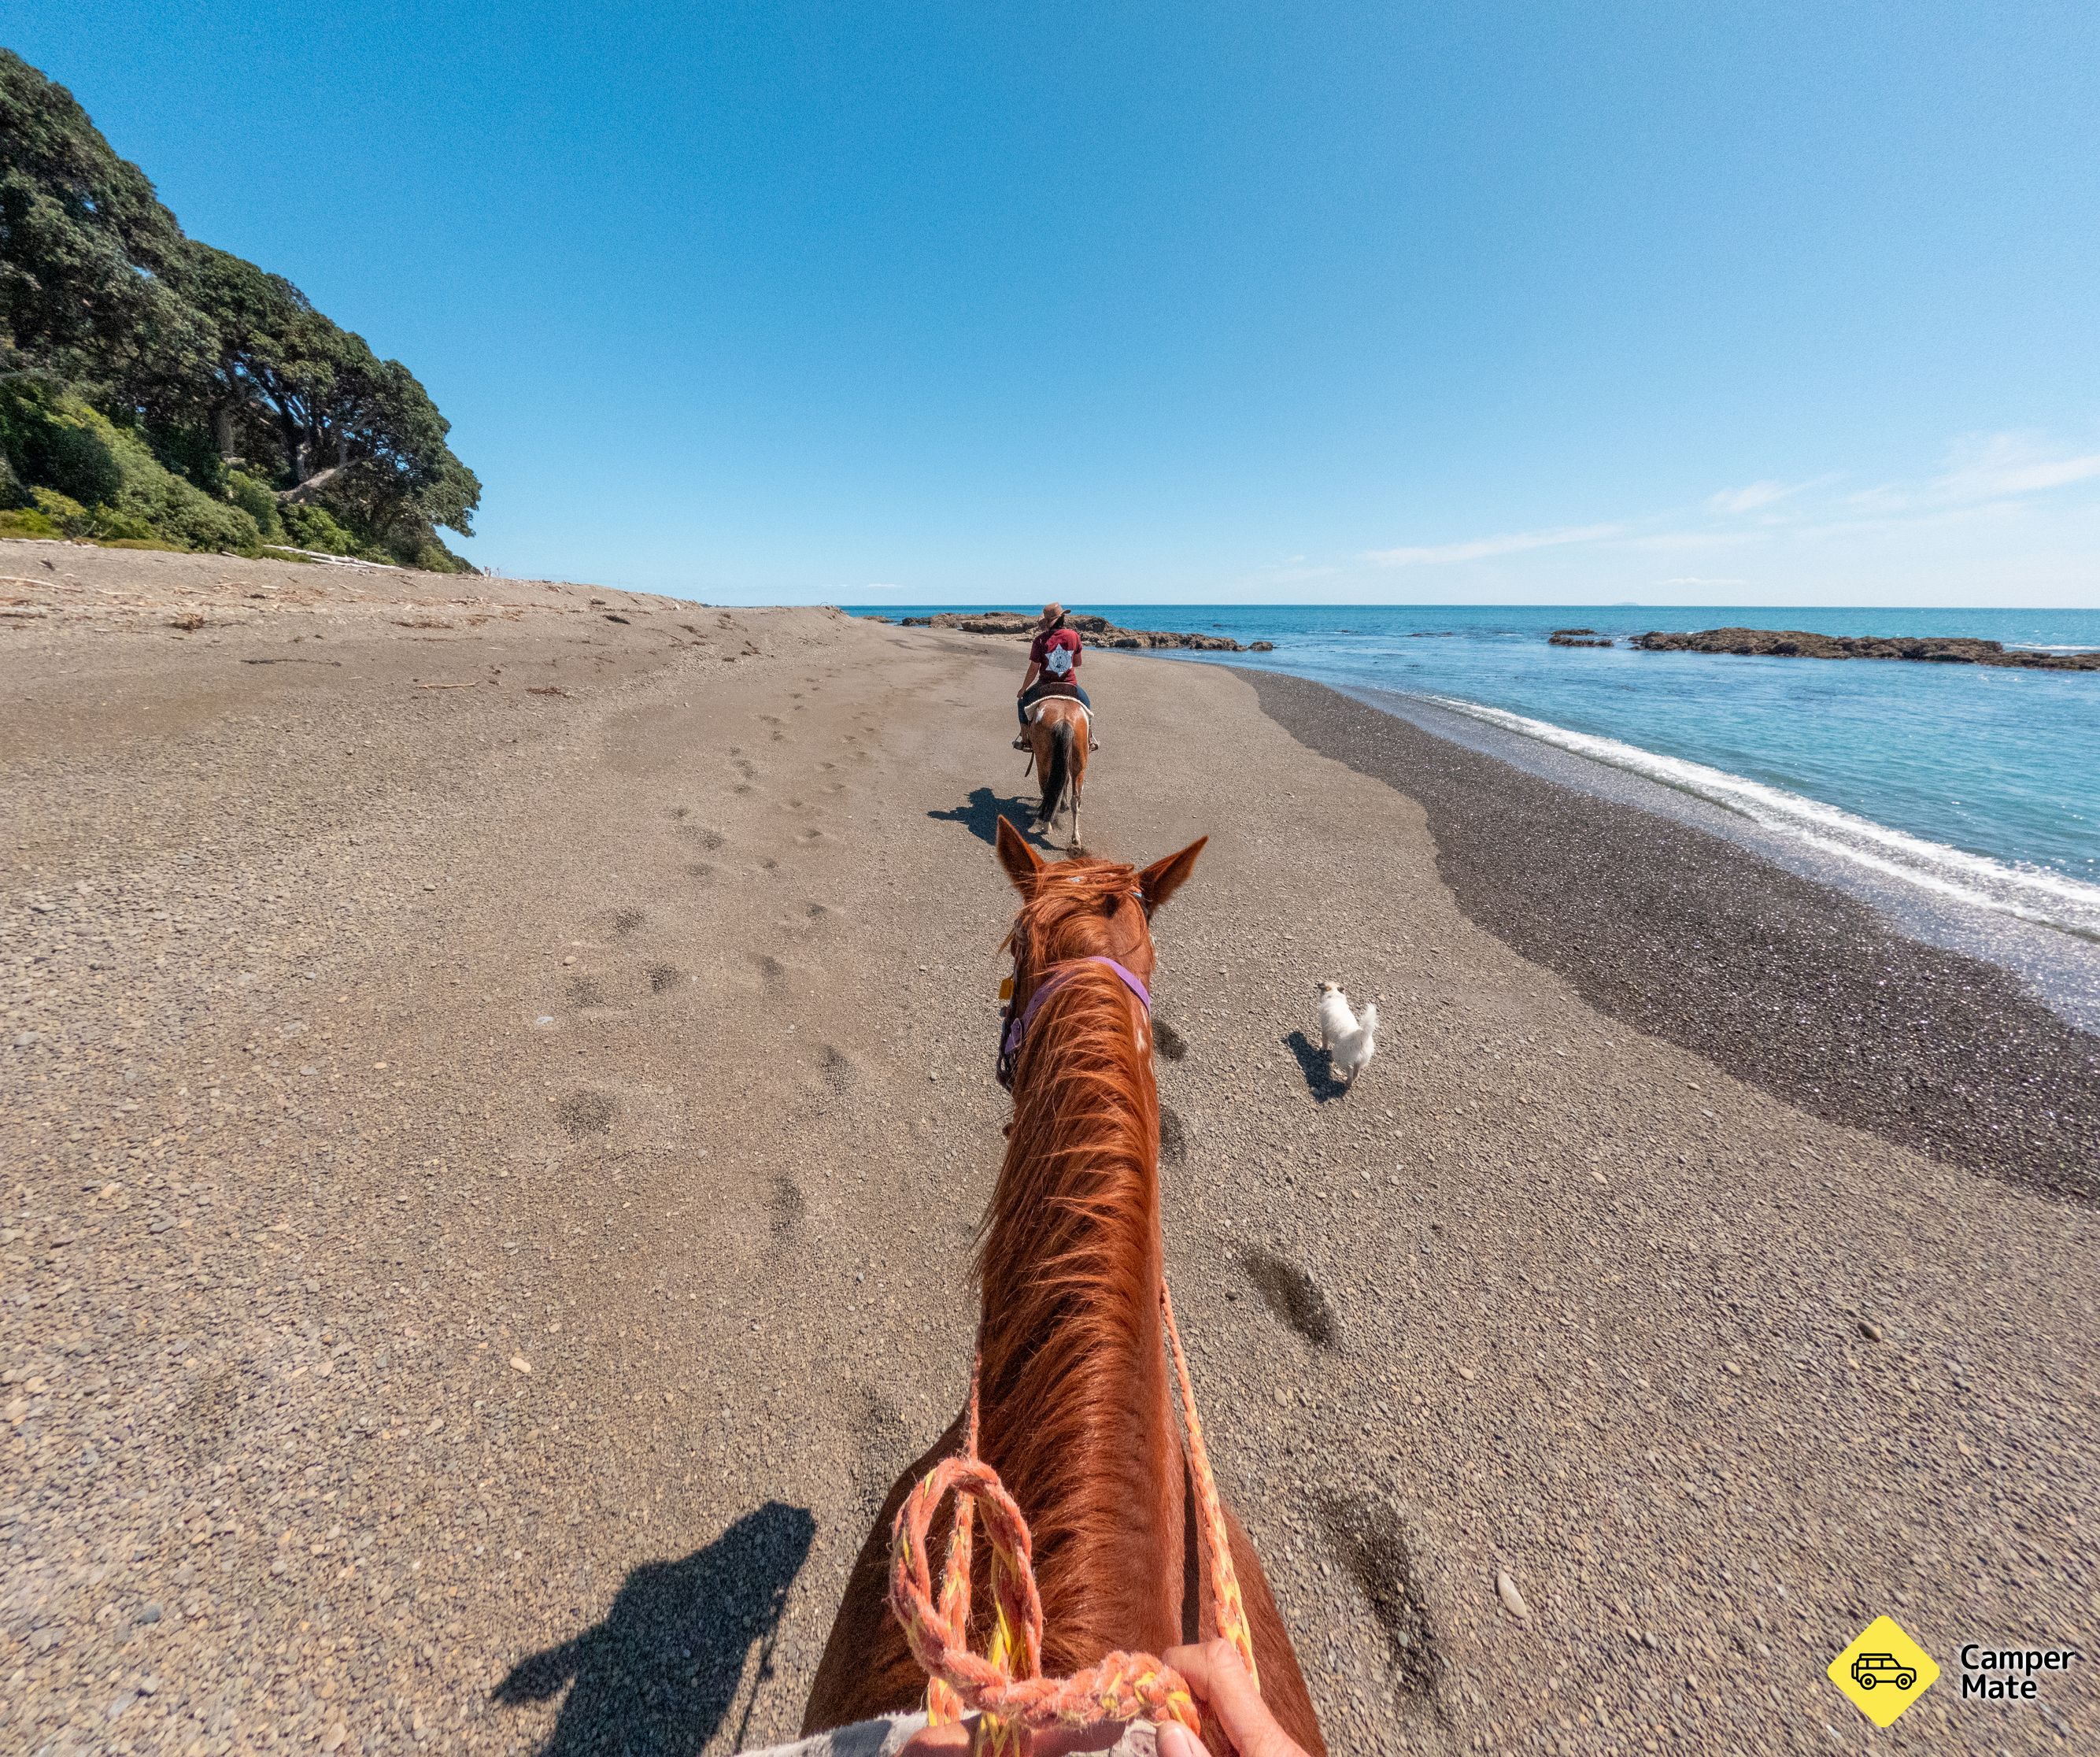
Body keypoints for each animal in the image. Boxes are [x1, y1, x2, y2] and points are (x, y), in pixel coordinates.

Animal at [1022, 692, 1090, 851]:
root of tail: (1064, 719)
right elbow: (1064, 781)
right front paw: (1063, 804)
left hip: (1043, 760)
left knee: (1048, 791)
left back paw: (1047, 825)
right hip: (1079, 764)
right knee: (1075, 799)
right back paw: (1076, 839)